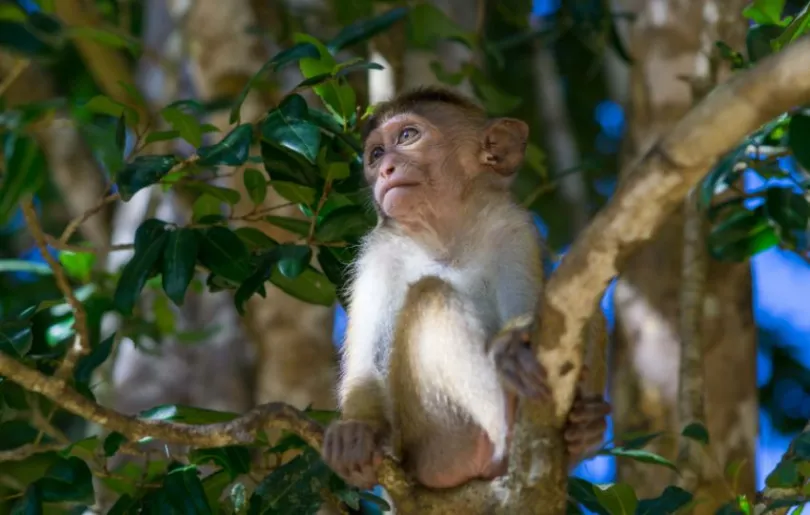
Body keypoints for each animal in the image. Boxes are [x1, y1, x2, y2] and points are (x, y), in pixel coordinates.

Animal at [320, 87, 608, 492]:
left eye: (407, 136)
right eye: (376, 154)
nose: (385, 169)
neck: (445, 236)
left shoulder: (511, 226)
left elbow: (536, 309)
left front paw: (515, 343)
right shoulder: (378, 254)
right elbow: (366, 362)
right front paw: (355, 432)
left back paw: (583, 428)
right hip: (430, 440)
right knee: (430, 295)